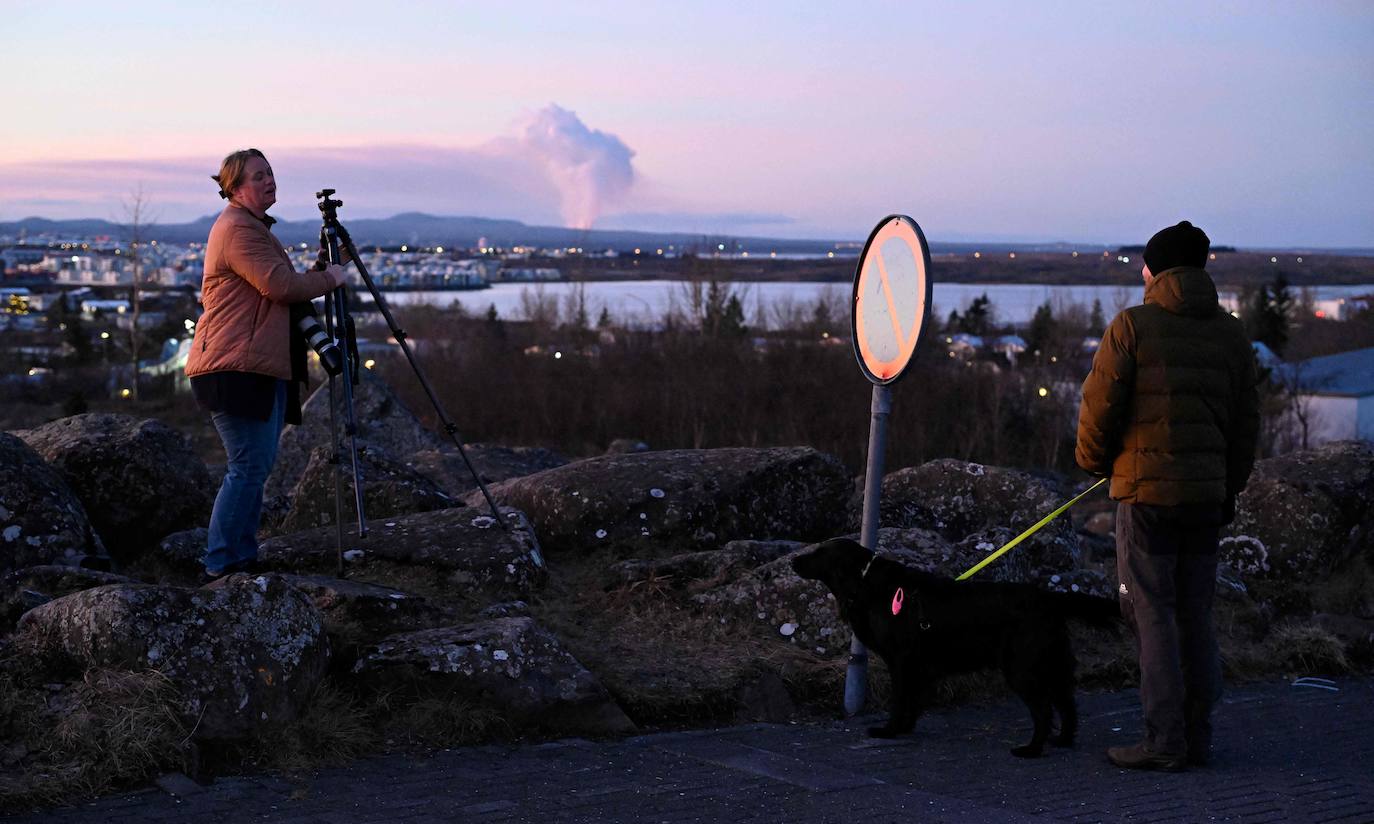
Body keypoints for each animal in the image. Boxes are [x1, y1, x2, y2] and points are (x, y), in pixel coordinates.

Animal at [796, 538, 1115, 758]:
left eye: (819, 552)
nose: (792, 560)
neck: (869, 585)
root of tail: (1048, 598)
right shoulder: (918, 667)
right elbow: (914, 702)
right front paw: (905, 728)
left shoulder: (901, 662)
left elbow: (900, 700)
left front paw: (888, 730)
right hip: (1053, 666)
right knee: (1068, 706)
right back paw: (1062, 741)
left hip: (1022, 669)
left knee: (1044, 711)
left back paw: (1031, 750)